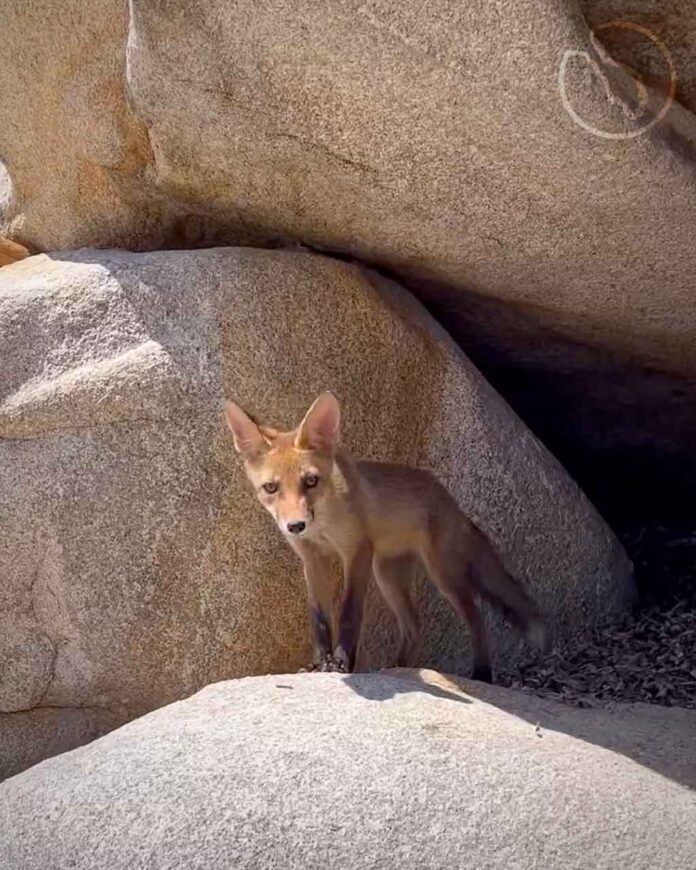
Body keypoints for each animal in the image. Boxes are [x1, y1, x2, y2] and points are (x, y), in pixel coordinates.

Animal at [223, 392, 548, 684]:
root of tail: (451, 502)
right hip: (388, 575)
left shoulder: (357, 552)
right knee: (414, 625)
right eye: (271, 488)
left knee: (476, 618)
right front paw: (318, 665)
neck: (324, 523)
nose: (296, 525)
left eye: (311, 481)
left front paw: (341, 664)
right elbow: (320, 620)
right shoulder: (312, 559)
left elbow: (349, 614)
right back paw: (397, 669)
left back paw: (481, 674)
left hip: (443, 575)